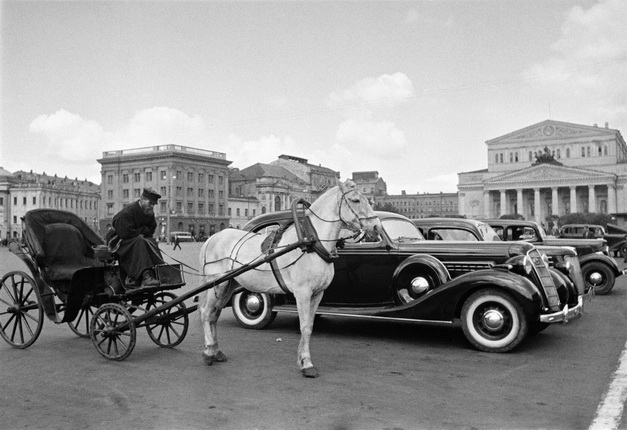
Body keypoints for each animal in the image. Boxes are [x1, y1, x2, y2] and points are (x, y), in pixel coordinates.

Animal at [199, 180, 380, 378]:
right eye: (355, 200)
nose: (377, 227)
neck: (312, 243)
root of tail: (212, 238)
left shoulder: (318, 294)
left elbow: (309, 326)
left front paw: (302, 359)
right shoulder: (302, 293)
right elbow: (304, 327)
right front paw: (307, 363)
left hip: (229, 284)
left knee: (214, 314)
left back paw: (216, 351)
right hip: (216, 283)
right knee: (206, 313)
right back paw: (208, 352)